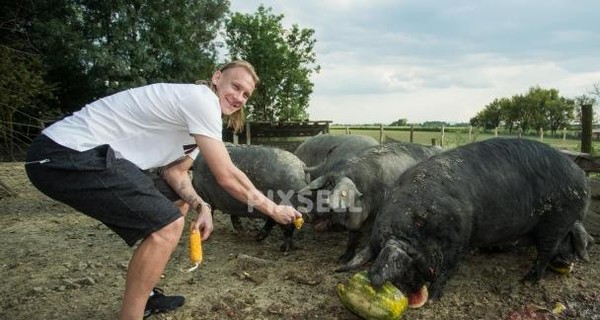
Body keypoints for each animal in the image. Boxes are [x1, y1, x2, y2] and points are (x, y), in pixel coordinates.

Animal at [342, 138, 592, 302]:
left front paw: (433, 299)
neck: (422, 226)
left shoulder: (459, 237)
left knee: (546, 251)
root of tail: (581, 177)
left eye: (409, 263)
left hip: (557, 220)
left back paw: (528, 280)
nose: (413, 293)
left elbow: (447, 268)